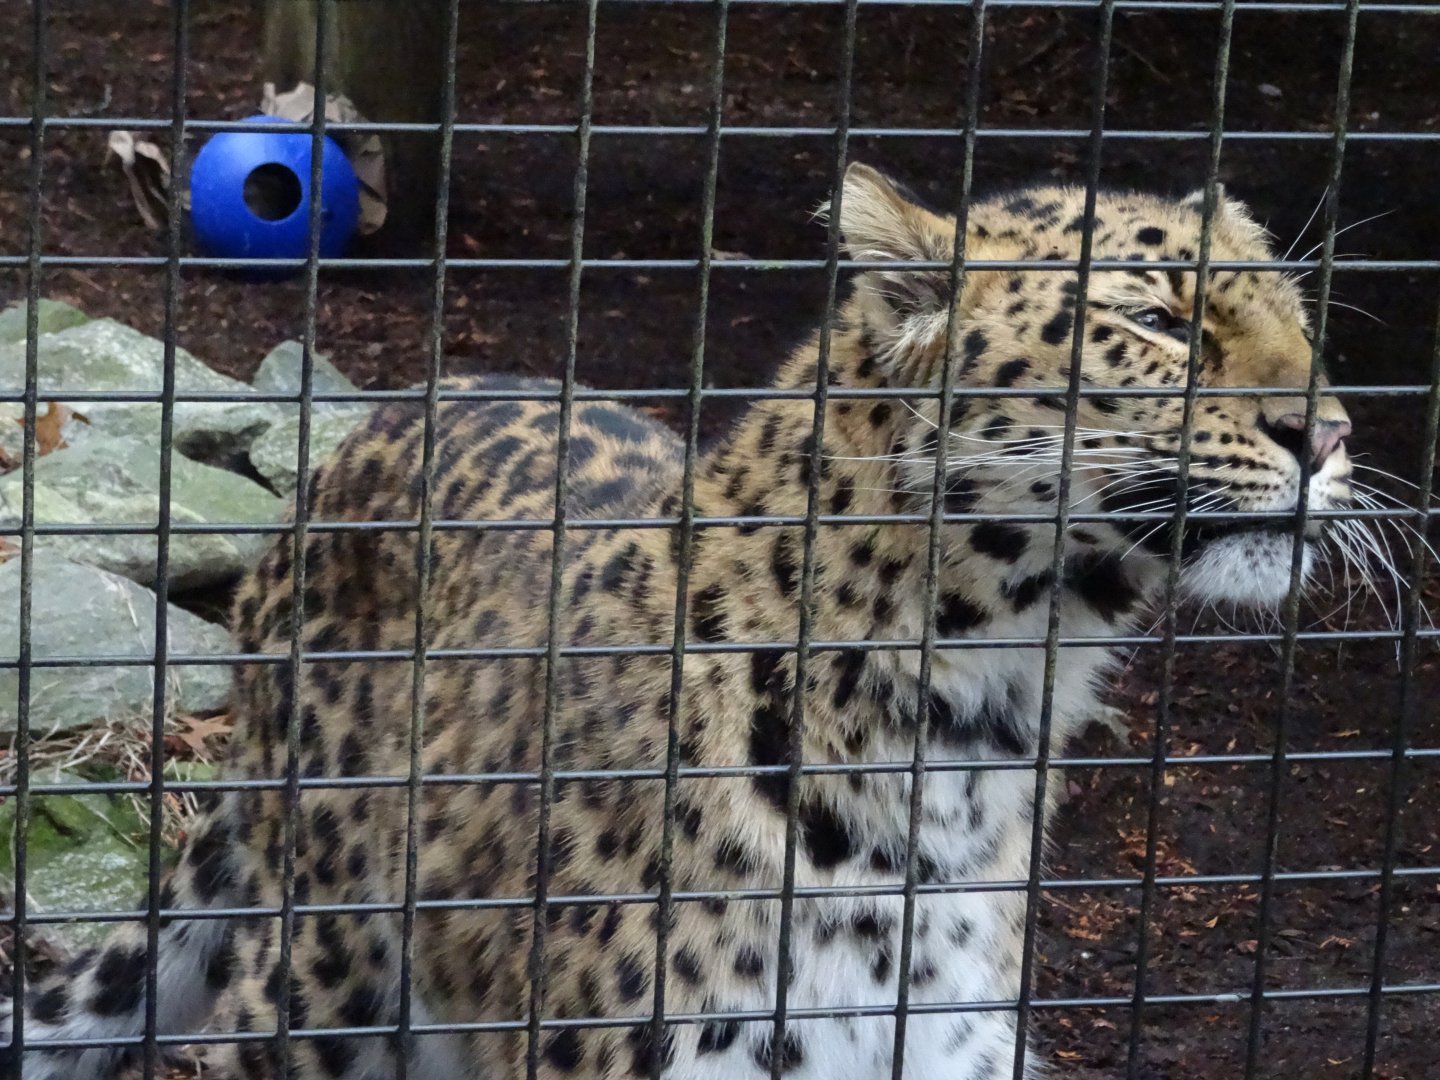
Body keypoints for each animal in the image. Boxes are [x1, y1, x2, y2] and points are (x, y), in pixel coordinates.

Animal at [0, 162, 1354, 1079]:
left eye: (1301, 320)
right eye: (1158, 321)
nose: (1333, 433)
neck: (979, 715)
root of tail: (371, 428)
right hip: (319, 990)